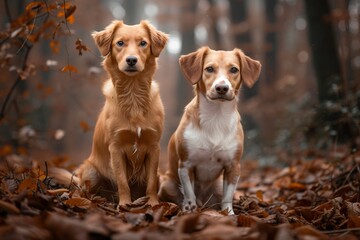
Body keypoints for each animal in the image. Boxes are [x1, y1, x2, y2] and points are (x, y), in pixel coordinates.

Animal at [52, 21, 169, 208]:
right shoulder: (116, 147)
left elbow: (151, 182)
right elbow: (122, 181)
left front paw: (153, 203)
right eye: (120, 43)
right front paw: (125, 204)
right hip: (91, 172)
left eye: (143, 43)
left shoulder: (154, 147)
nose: (131, 60)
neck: (133, 94)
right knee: (82, 190)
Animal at [159, 46, 260, 214]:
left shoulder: (233, 166)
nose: (222, 88)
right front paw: (189, 208)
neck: (216, 116)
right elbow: (189, 191)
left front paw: (229, 213)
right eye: (209, 69)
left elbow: (228, 195)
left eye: (234, 69)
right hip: (167, 184)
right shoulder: (186, 164)